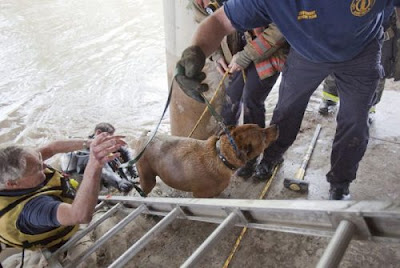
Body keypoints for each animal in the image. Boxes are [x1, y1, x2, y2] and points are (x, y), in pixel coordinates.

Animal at [134, 124, 278, 198]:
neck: (221, 156)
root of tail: (143, 138)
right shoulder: (200, 195)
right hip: (148, 178)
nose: (276, 127)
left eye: (261, 127)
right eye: (263, 136)